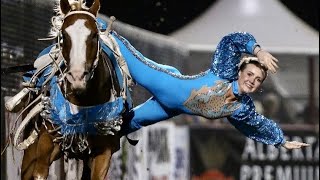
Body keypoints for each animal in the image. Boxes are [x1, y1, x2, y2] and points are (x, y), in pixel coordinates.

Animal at [3, 0, 132, 179]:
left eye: (94, 35)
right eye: (64, 35)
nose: (77, 76)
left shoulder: (104, 152)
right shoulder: (46, 142)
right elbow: (40, 171)